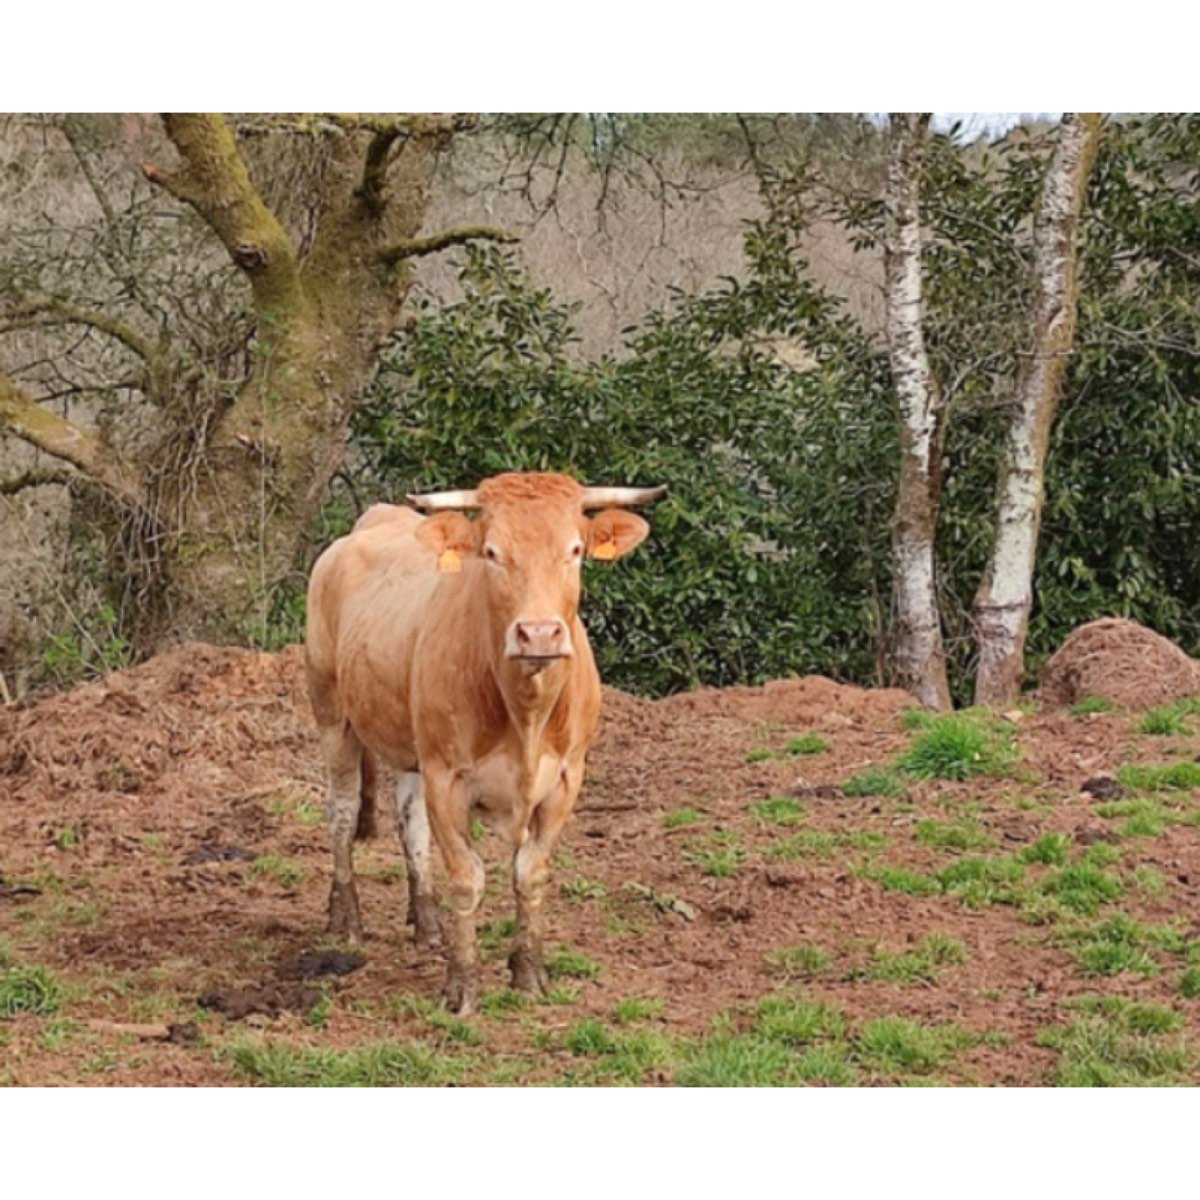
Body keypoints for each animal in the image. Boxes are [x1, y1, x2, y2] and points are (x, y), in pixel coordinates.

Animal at [304, 471, 664, 1014]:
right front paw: (461, 985)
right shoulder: (447, 778)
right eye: (492, 552)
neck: (526, 714)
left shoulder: (566, 778)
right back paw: (346, 920)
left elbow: (529, 872)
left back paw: (426, 922)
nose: (539, 633)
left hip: (410, 743)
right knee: (342, 812)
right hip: (333, 715)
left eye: (575, 549)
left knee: (410, 823)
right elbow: (466, 877)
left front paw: (529, 973)